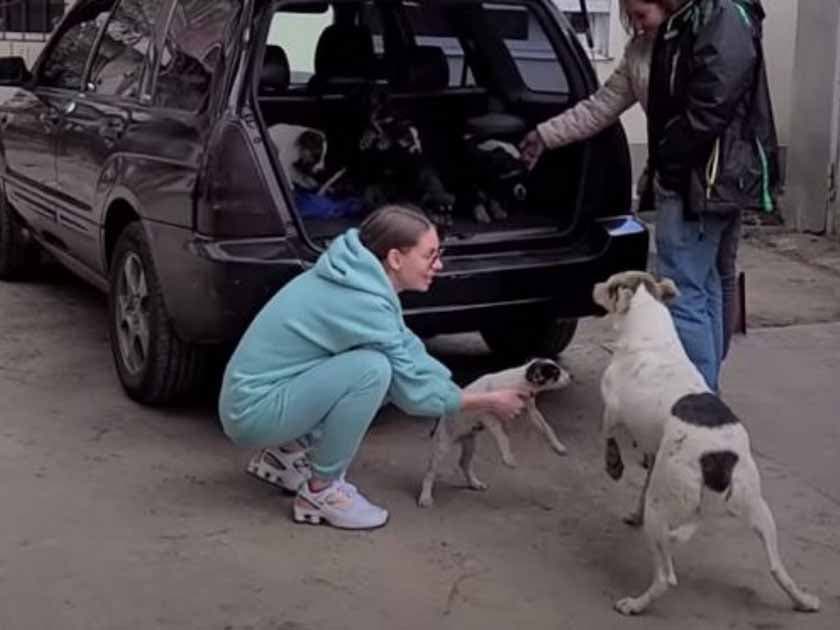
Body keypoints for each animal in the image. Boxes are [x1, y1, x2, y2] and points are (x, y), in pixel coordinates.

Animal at [418, 358, 572, 512]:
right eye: (555, 373)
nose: (571, 376)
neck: (519, 382)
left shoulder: (531, 411)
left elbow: (547, 428)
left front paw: (558, 446)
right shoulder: (488, 416)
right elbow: (503, 437)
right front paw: (508, 458)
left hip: (470, 442)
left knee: (464, 463)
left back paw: (475, 483)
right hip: (442, 445)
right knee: (430, 473)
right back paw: (425, 497)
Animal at [592, 270, 820, 616]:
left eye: (610, 284)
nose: (594, 285)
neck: (651, 330)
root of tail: (721, 456)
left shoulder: (612, 409)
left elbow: (608, 436)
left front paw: (614, 466)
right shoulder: (655, 451)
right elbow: (644, 476)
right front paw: (633, 507)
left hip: (660, 514)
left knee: (666, 577)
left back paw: (636, 604)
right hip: (759, 509)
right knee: (776, 567)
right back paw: (803, 600)